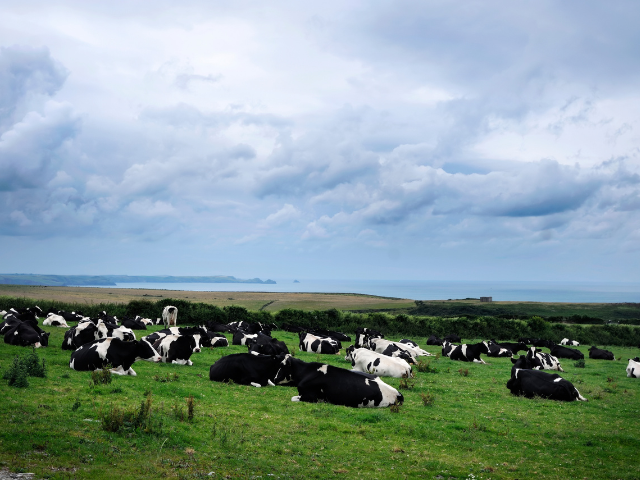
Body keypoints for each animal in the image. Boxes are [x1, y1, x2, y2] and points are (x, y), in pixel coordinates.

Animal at [272, 352, 402, 408]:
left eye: (282, 365)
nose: (274, 378)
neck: (307, 372)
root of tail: (397, 392)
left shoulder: (309, 396)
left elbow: (293, 398)